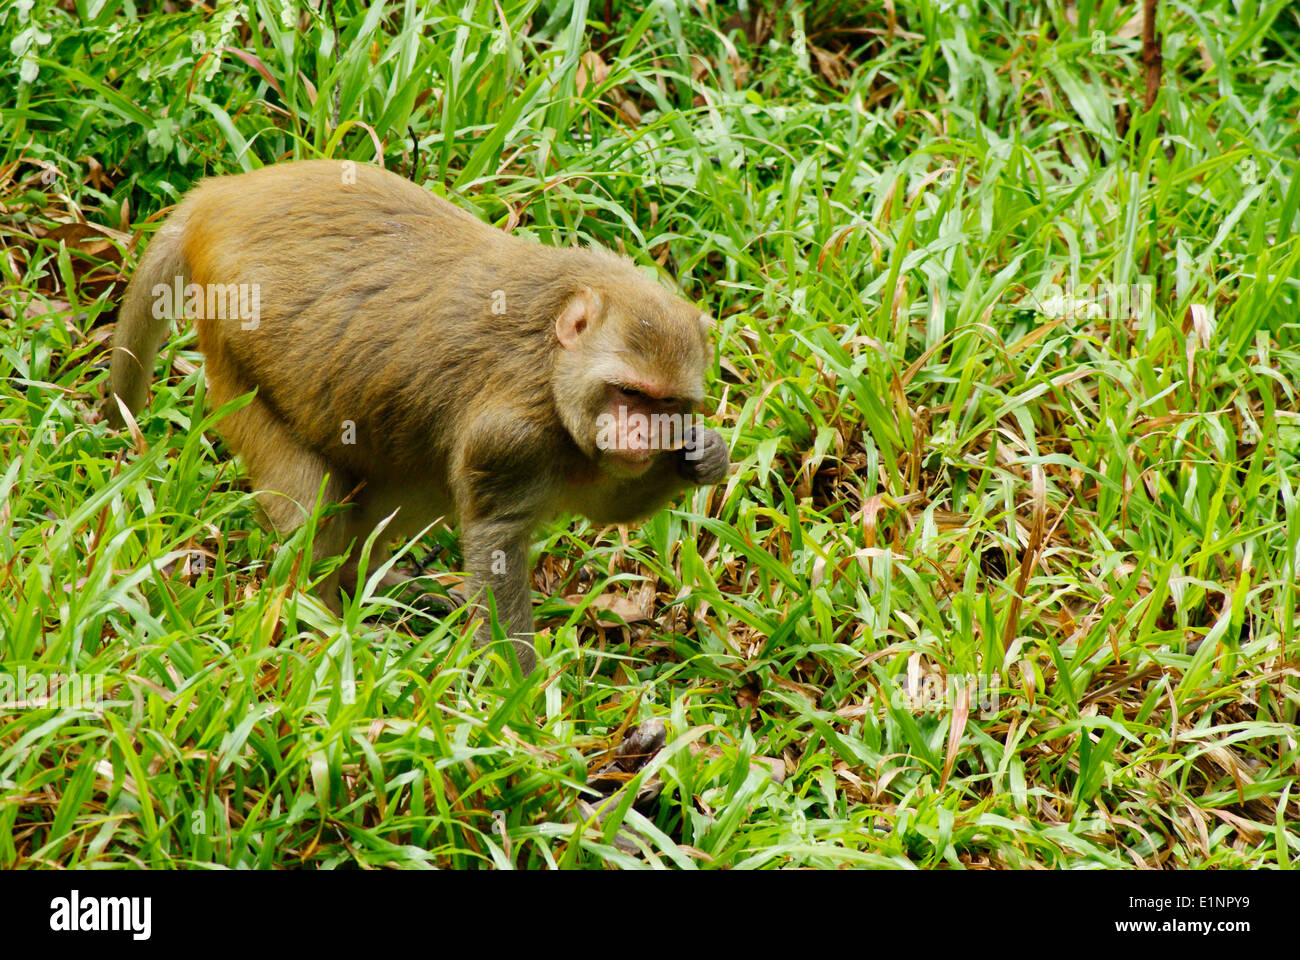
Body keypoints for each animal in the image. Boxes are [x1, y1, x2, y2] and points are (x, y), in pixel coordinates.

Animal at [108, 159, 730, 674]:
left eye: (665, 403)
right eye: (628, 391)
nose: (641, 435)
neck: (551, 369)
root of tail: (219, 199)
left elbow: (602, 505)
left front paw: (703, 457)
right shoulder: (512, 437)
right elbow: (496, 544)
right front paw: (522, 697)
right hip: (237, 349)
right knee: (315, 498)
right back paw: (320, 623)